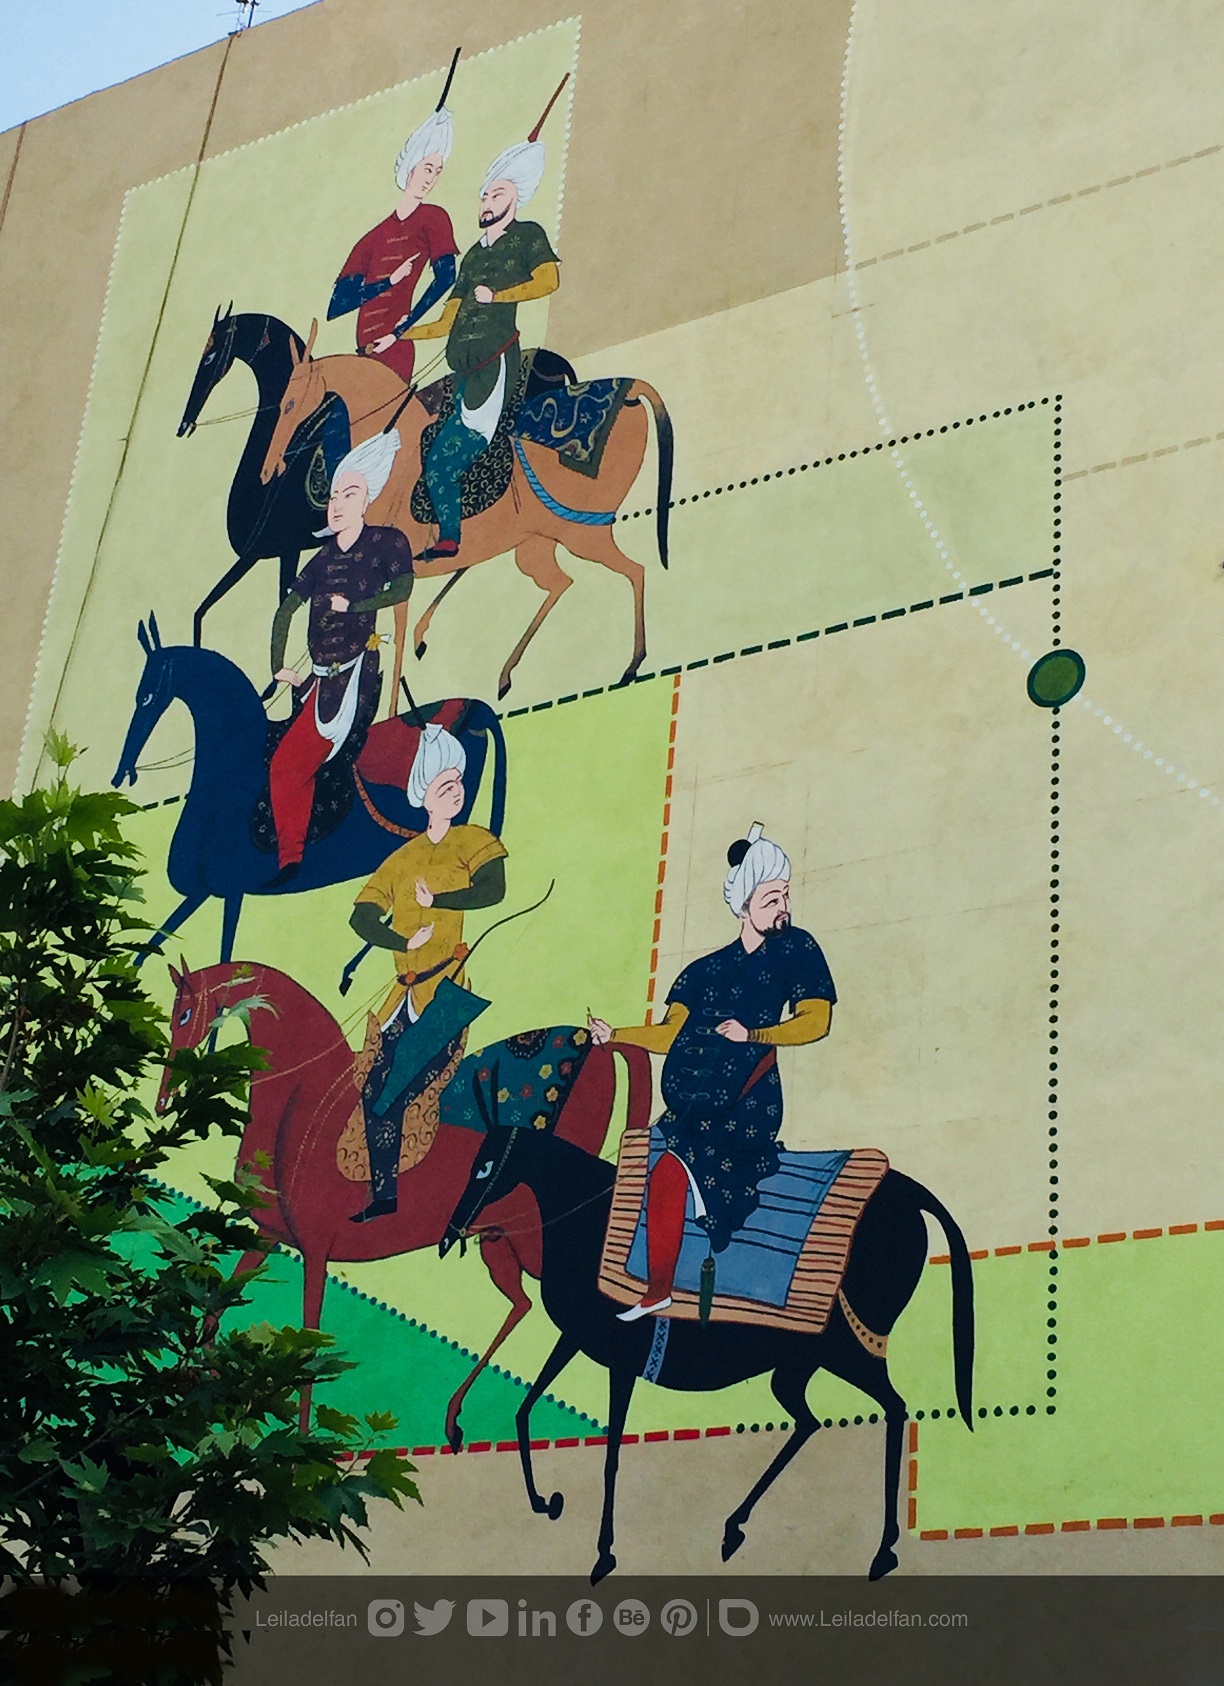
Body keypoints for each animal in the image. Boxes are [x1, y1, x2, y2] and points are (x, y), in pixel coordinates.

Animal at [111, 615, 506, 964]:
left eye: (146, 698)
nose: (121, 774)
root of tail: (477, 710)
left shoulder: (231, 893)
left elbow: (223, 957)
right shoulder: (203, 892)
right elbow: (151, 945)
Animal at [158, 958, 653, 1438]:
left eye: (183, 1014)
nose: (164, 1099)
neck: (300, 1096)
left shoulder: (315, 1251)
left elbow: (308, 1345)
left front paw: (298, 1443)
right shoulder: (268, 1233)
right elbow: (216, 1307)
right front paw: (210, 1383)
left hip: (534, 1240)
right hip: (497, 1241)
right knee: (522, 1304)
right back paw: (453, 1418)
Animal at [260, 320, 674, 699]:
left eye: (291, 404)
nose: (269, 469)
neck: (386, 456)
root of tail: (631, 389)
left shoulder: (396, 574)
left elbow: (395, 647)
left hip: (582, 531)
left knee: (634, 571)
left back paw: (632, 663)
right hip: (537, 544)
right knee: (560, 582)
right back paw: (506, 675)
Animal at [441, 1124, 975, 1583]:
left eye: (484, 1168)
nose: (449, 1236)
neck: (586, 1222)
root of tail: (908, 1189)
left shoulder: (621, 1360)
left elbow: (610, 1456)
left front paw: (603, 1552)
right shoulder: (576, 1338)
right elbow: (523, 1409)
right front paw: (542, 1500)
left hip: (851, 1349)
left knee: (894, 1407)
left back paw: (883, 1550)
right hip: (800, 1363)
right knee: (809, 1420)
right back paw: (734, 1527)